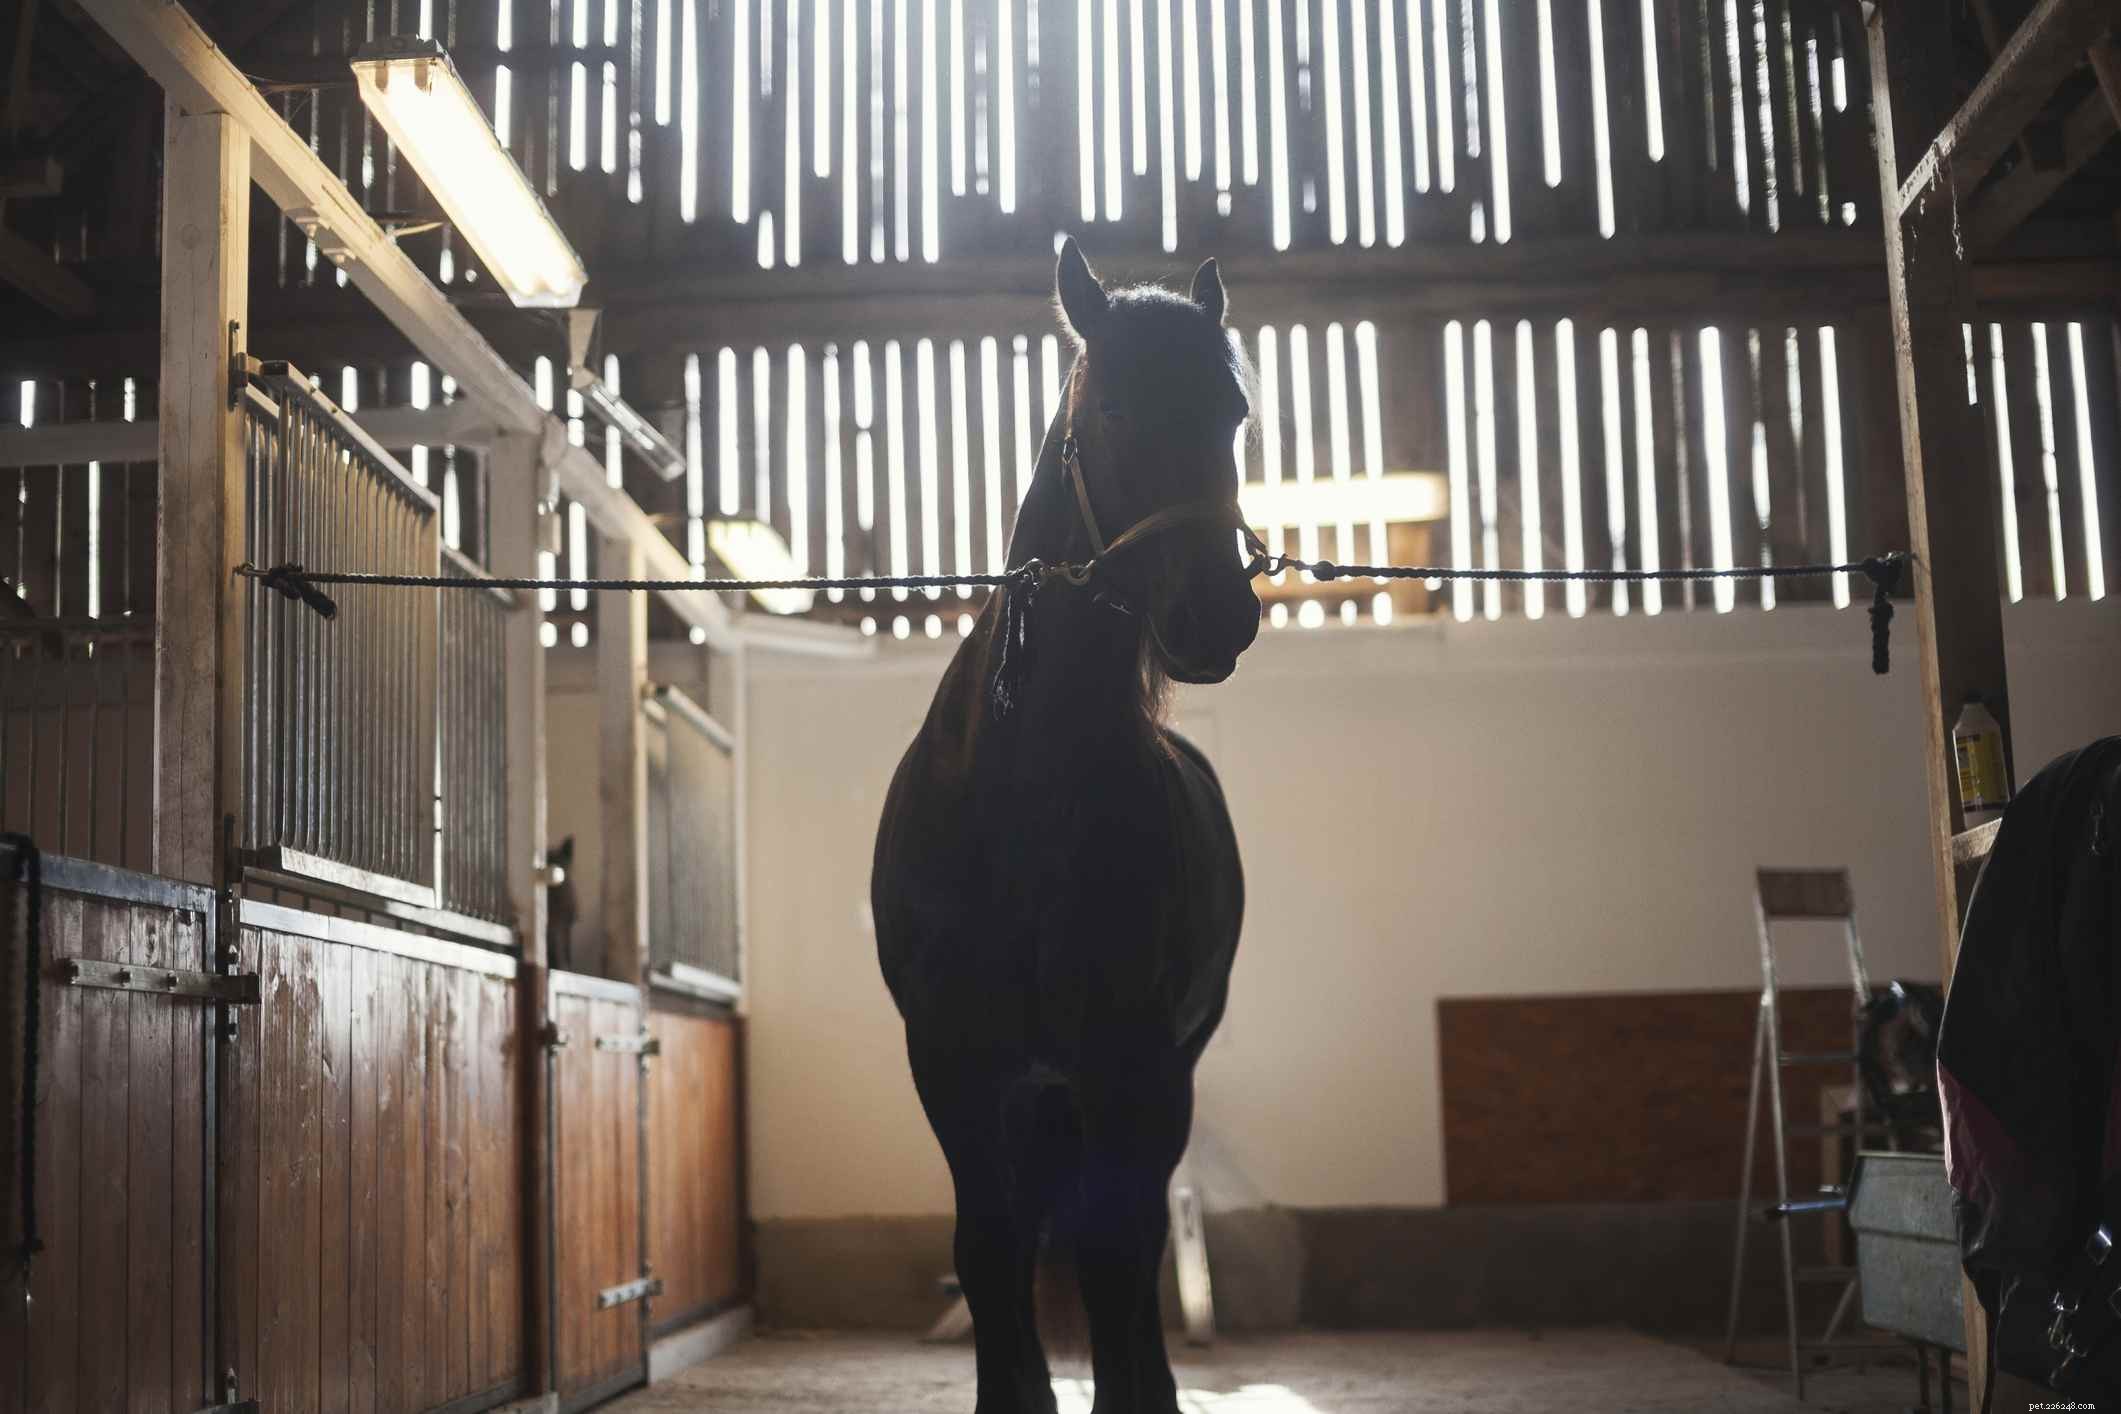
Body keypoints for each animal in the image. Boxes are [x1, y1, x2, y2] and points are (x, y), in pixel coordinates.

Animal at [872, 238, 1261, 1414]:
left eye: (1232, 411)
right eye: (1112, 412)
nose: (1217, 617)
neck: (1025, 791)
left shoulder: (1128, 1059)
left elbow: (1113, 1253)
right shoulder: (950, 1061)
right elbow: (992, 1246)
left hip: (1151, 1077)